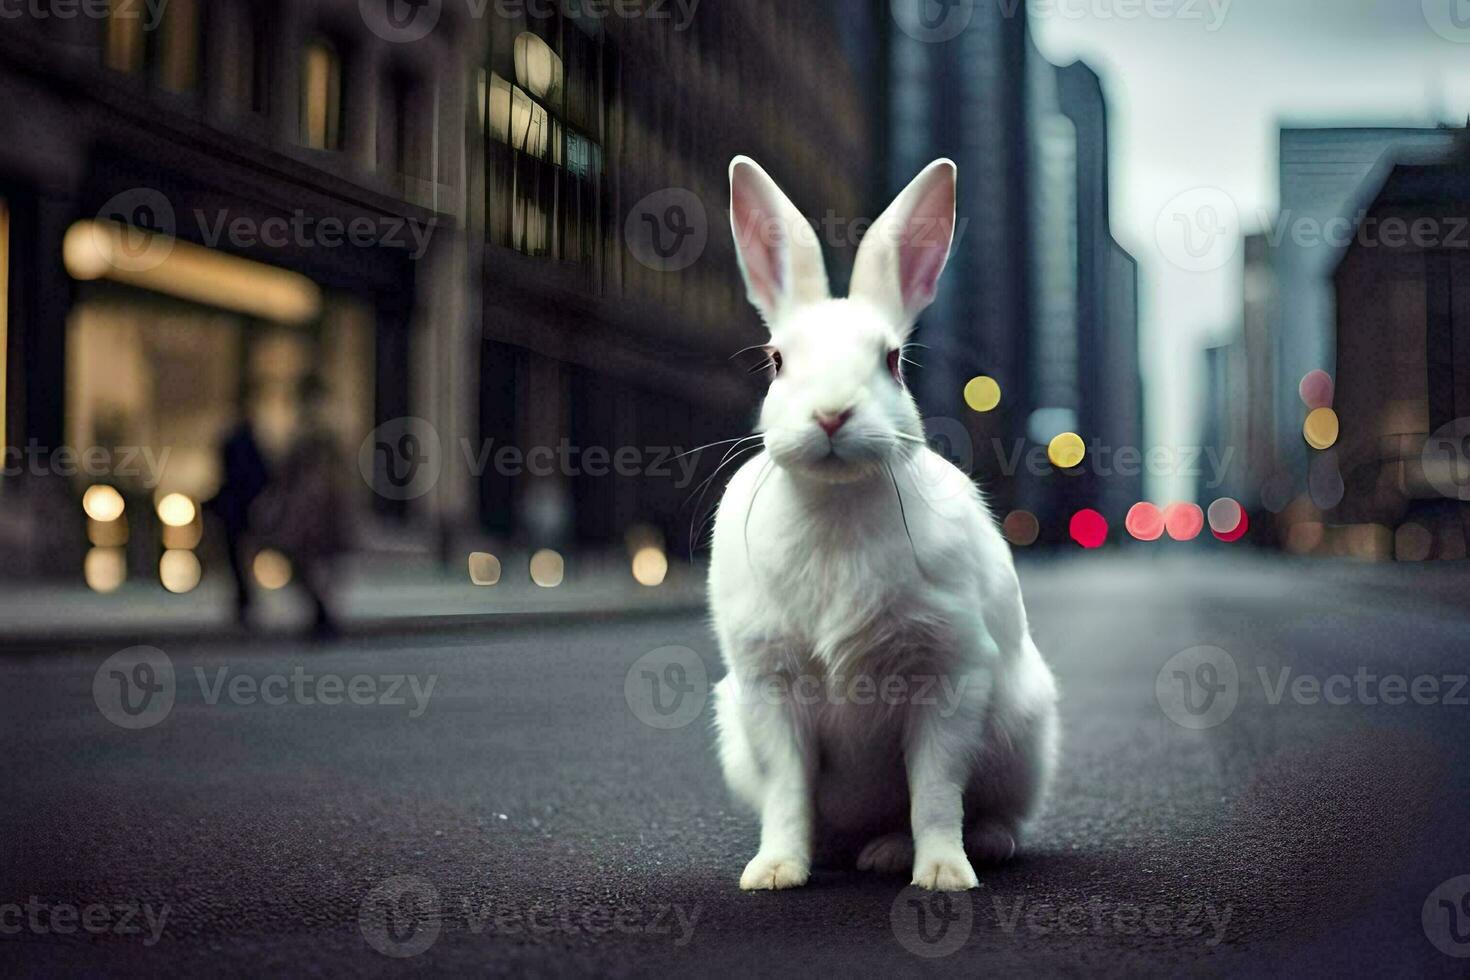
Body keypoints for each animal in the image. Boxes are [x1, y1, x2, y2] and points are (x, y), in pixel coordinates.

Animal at [708, 157, 1058, 893]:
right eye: (777, 360)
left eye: (892, 360)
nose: (832, 414)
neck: (837, 503)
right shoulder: (769, 689)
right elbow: (787, 793)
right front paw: (774, 872)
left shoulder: (948, 677)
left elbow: (935, 791)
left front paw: (944, 875)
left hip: (1023, 731)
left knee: (984, 811)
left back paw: (935, 850)